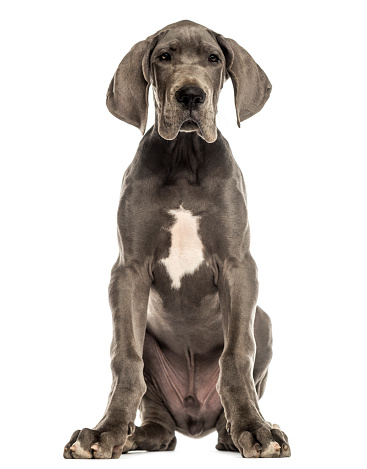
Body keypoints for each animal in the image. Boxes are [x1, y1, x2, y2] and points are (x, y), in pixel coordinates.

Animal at [64, 20, 294, 458]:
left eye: (214, 58)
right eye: (164, 56)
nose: (190, 95)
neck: (186, 158)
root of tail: (193, 420)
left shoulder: (239, 266)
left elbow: (236, 356)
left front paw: (254, 429)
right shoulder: (129, 270)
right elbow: (125, 359)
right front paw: (106, 431)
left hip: (264, 321)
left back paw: (238, 430)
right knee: (159, 424)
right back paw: (133, 434)